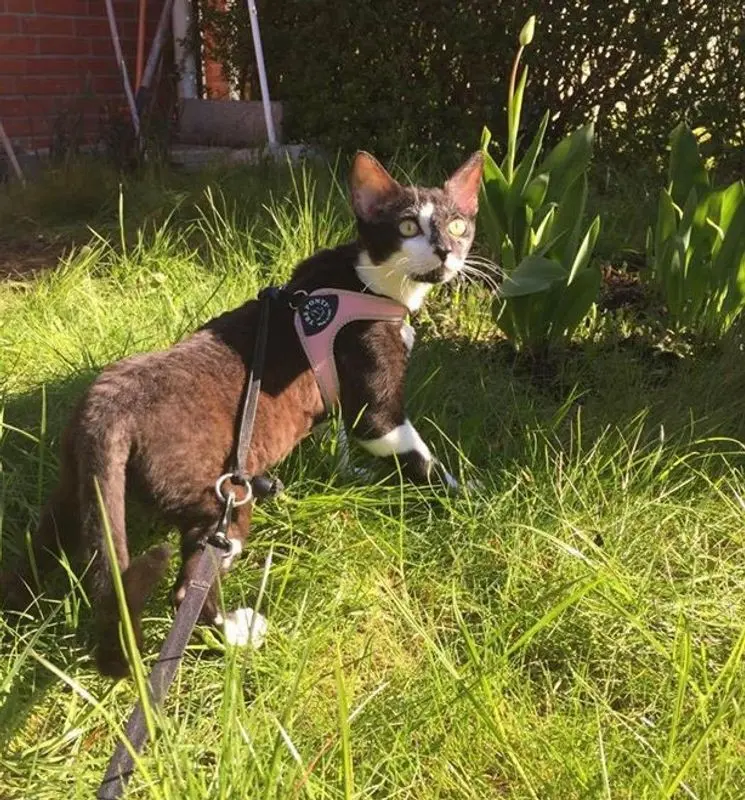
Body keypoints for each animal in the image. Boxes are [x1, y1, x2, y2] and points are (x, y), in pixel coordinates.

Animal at [0, 150, 484, 677]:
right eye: (406, 225)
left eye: (458, 224)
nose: (446, 251)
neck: (368, 282)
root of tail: (106, 412)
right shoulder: (377, 414)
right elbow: (419, 457)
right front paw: (467, 495)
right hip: (218, 503)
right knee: (186, 589)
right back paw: (236, 632)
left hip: (76, 494)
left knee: (35, 554)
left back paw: (16, 618)